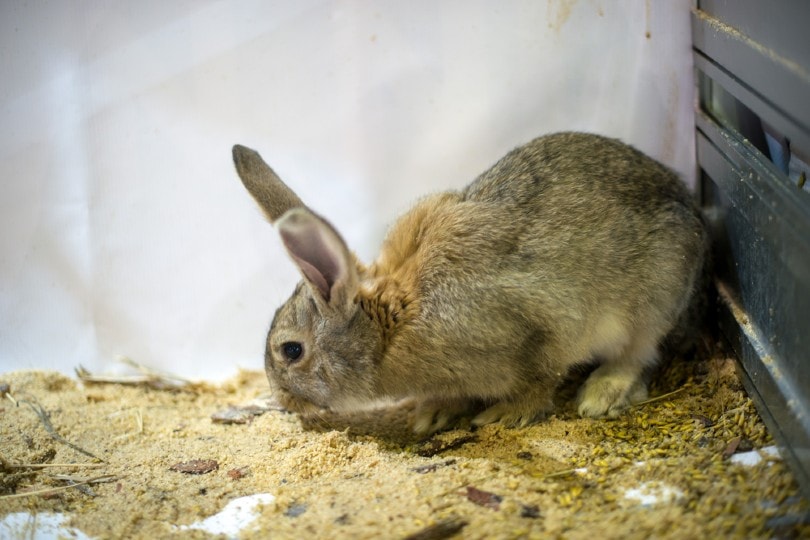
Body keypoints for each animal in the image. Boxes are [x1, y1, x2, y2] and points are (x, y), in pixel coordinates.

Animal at [231, 132, 709, 435]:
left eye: (292, 351)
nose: (282, 401)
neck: (391, 327)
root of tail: (692, 209)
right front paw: (434, 413)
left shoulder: (537, 331)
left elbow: (541, 379)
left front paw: (504, 415)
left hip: (653, 299)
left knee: (640, 354)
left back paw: (602, 394)